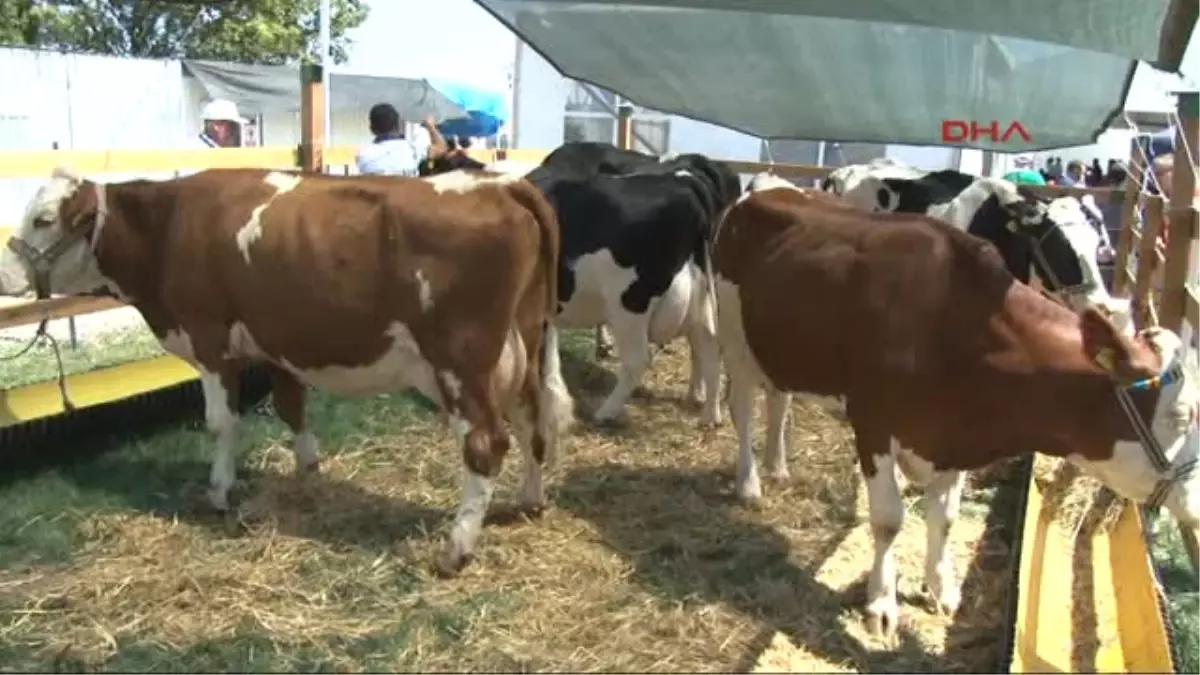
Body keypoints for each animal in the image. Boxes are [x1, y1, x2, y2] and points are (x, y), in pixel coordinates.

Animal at [0, 165, 576, 569]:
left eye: (44, 219)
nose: (6, 272)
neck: (167, 228)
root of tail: (501, 184)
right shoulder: (274, 343)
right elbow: (291, 406)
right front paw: (308, 469)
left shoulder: (208, 337)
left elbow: (221, 423)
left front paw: (219, 492)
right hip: (525, 341)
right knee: (533, 420)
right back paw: (529, 501)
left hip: (461, 361)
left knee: (486, 442)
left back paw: (456, 549)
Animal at [710, 172, 1200, 634]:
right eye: (1182, 416)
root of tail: (770, 184)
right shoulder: (873, 424)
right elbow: (888, 519)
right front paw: (881, 604)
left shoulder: (955, 434)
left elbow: (943, 517)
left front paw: (941, 589)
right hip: (734, 339)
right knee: (744, 408)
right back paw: (750, 482)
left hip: (778, 344)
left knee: (779, 398)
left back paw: (777, 466)